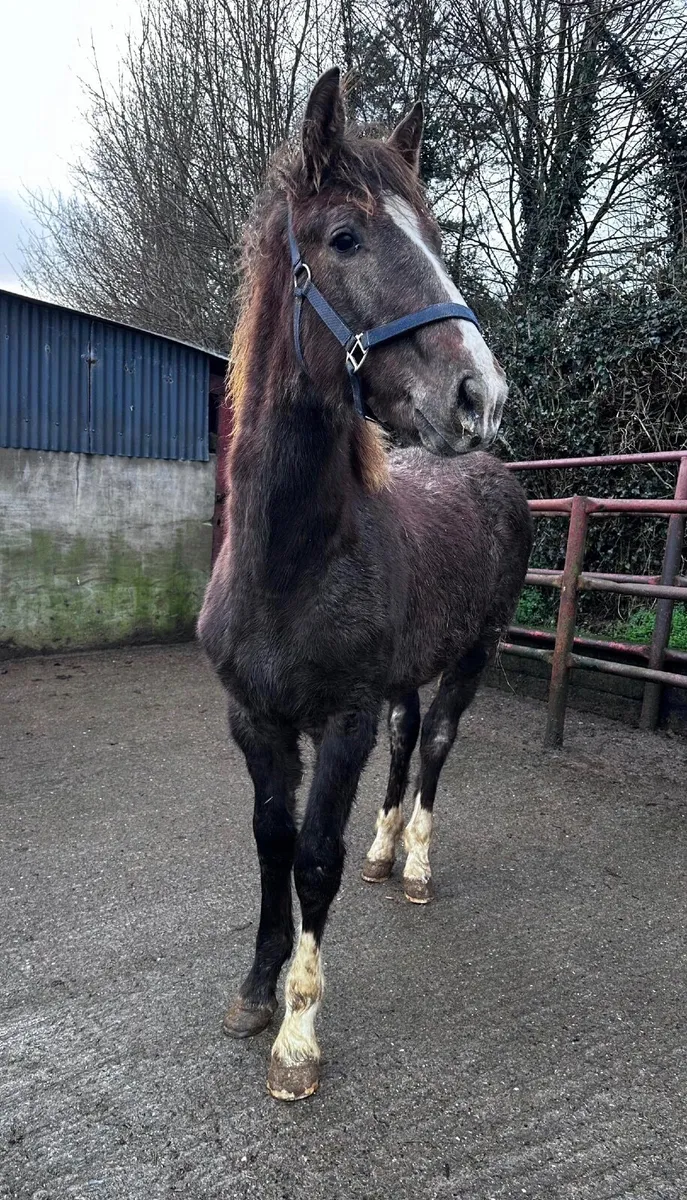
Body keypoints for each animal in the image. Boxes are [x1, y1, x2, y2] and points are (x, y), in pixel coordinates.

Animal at [198, 67, 533, 1102]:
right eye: (345, 237)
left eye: (433, 231)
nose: (480, 395)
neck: (288, 564)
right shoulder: (255, 721)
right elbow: (269, 844)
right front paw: (255, 991)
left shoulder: (337, 719)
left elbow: (314, 860)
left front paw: (298, 1037)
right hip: (405, 675)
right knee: (409, 735)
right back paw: (389, 854)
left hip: (475, 652)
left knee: (439, 745)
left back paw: (414, 863)